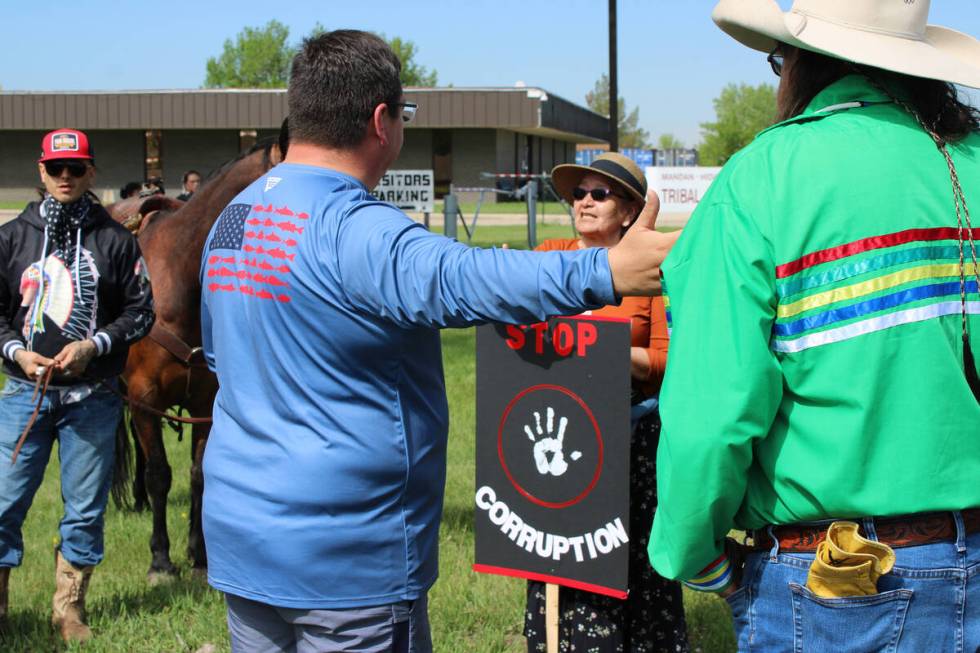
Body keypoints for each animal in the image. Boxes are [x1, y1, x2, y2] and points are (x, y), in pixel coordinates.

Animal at [116, 139, 284, 580]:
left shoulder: (205, 401)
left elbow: (199, 474)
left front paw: (200, 555)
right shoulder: (145, 396)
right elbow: (161, 474)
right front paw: (161, 559)